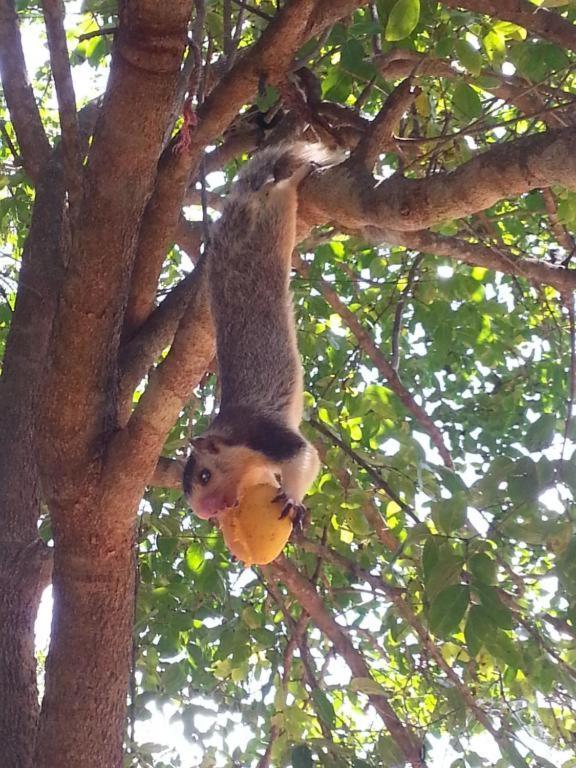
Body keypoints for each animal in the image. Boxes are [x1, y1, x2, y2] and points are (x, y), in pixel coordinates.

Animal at [183, 140, 328, 520]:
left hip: (271, 218)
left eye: (205, 475)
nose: (207, 512)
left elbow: (305, 457)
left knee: (277, 192)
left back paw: (297, 176)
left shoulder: (265, 435)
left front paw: (291, 498)